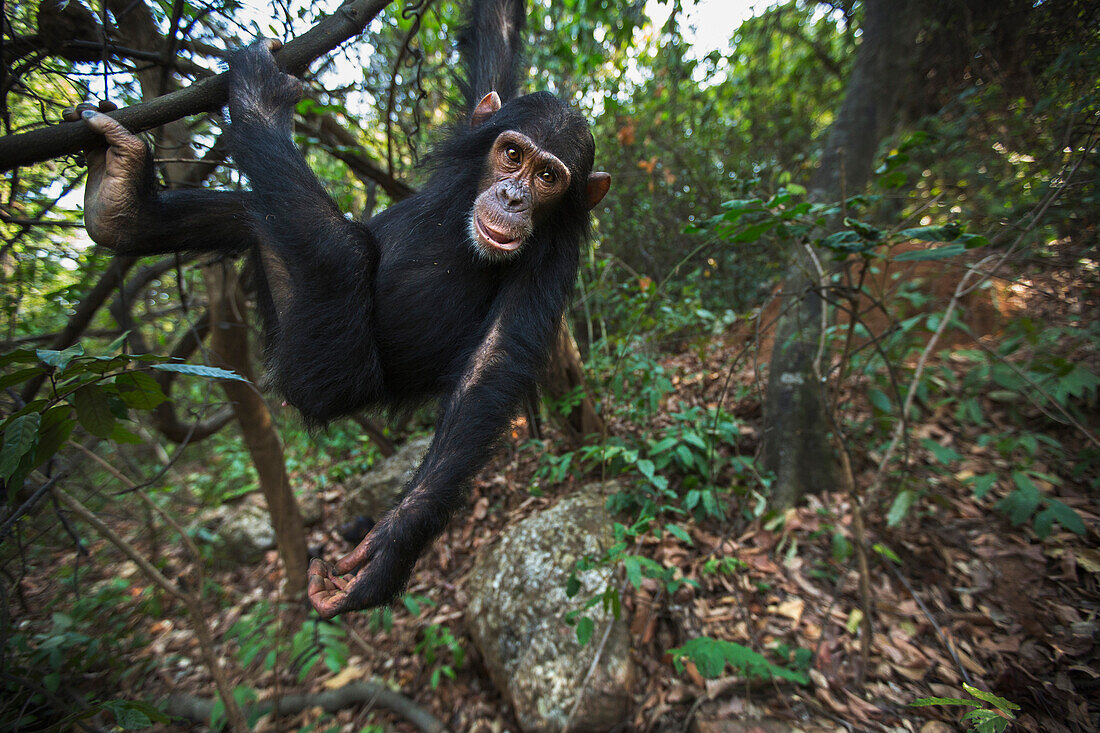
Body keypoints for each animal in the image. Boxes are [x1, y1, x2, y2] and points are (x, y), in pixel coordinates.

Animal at [67, 0, 611, 616]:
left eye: (548, 176)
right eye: (513, 154)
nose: (514, 197)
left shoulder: (552, 260)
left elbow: (490, 368)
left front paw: (390, 549)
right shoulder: (480, 126)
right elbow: (494, 40)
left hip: (331, 372)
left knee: (341, 249)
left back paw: (259, 102)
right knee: (256, 214)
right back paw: (121, 207)